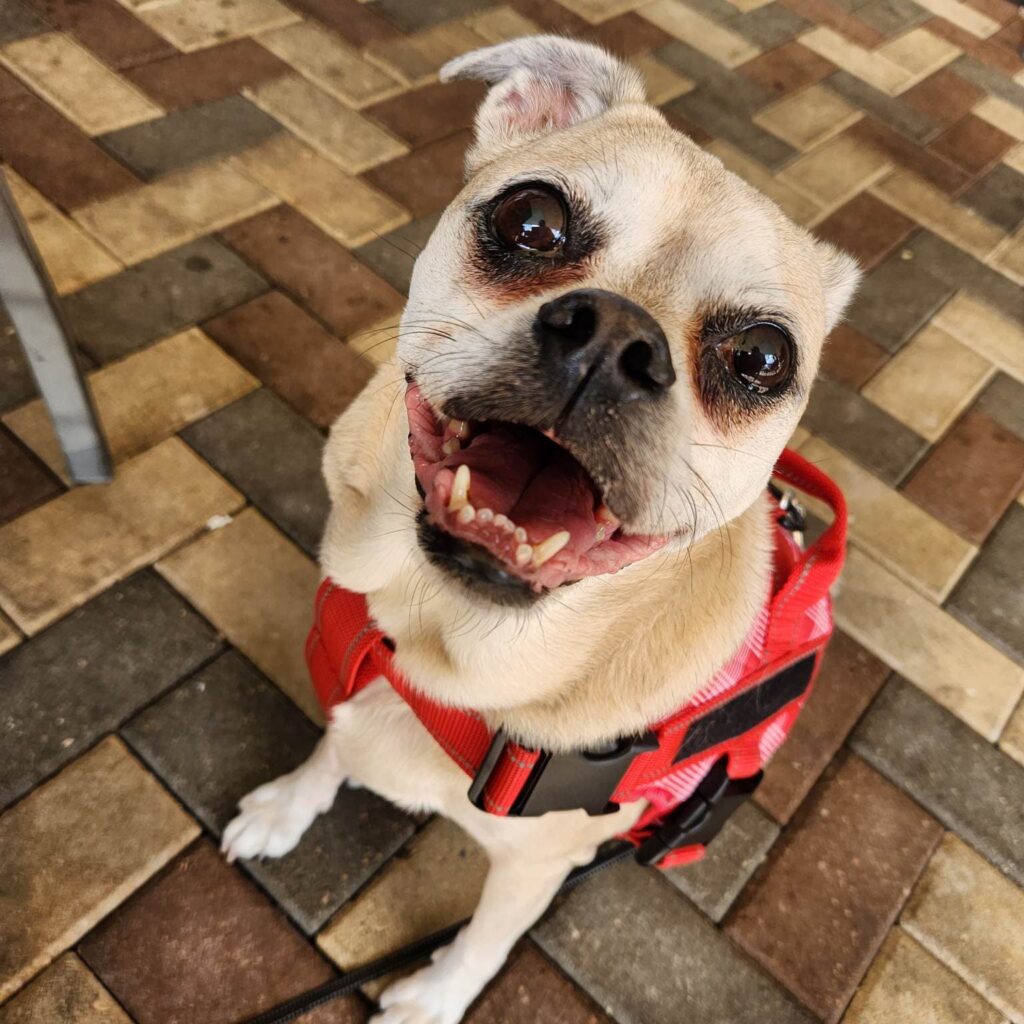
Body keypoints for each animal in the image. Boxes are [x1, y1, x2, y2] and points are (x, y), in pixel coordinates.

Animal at [222, 36, 856, 1024]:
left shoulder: (536, 867)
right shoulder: (359, 673)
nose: (615, 338)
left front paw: (434, 998)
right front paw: (290, 805)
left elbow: (486, 937)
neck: (440, 642)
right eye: (531, 221)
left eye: (761, 357)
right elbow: (332, 743)